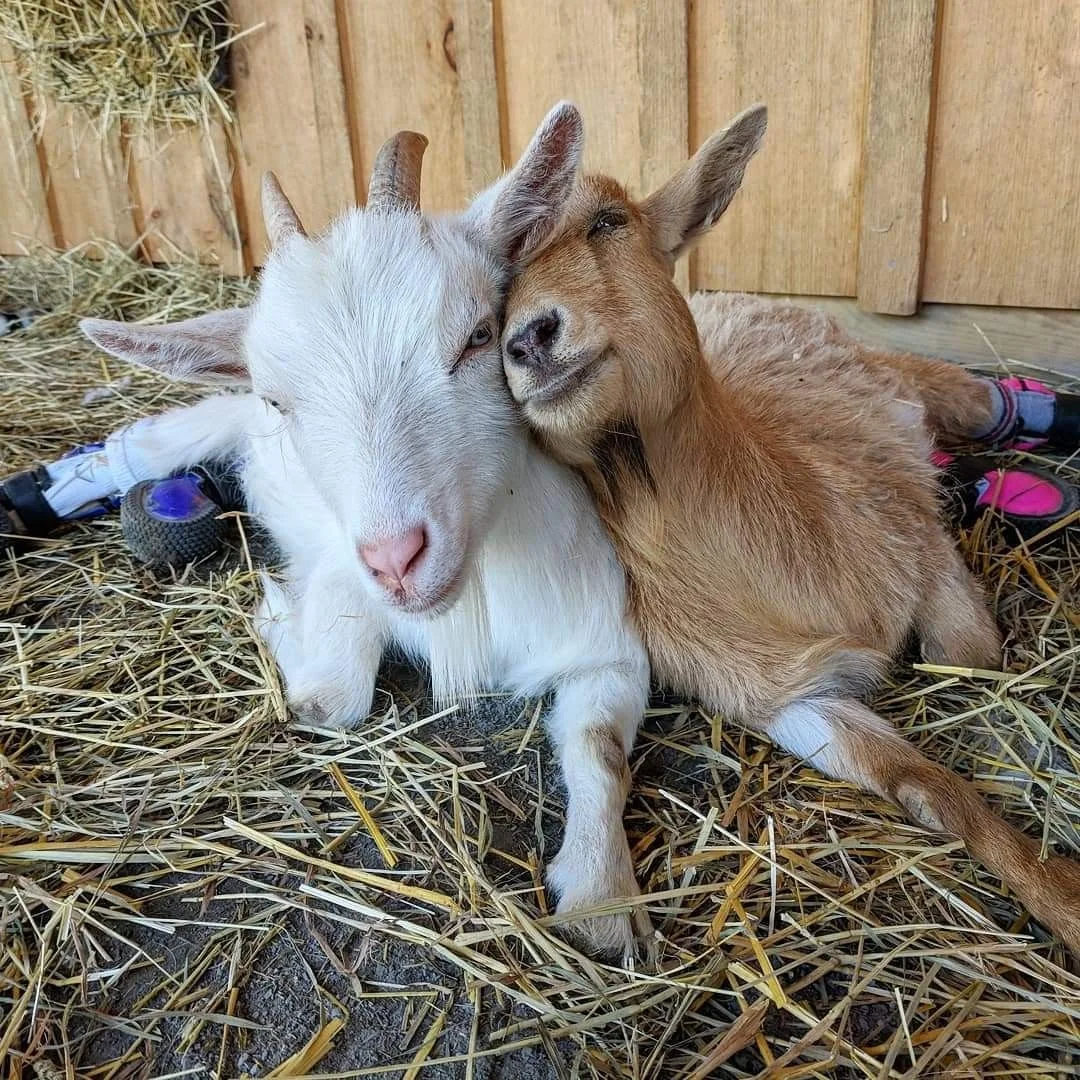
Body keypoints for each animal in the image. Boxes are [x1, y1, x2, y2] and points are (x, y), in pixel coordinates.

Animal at [79, 107, 651, 955]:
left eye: (478, 335)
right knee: (154, 441)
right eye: (279, 400)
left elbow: (600, 747)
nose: (397, 559)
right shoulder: (340, 577)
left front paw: (601, 898)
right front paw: (274, 612)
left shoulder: (607, 645)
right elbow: (329, 699)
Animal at [501, 104, 1080, 953]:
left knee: (977, 398)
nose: (528, 338)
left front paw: (1064, 899)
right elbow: (926, 785)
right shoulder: (784, 693)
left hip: (904, 376)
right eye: (493, 289)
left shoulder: (915, 538)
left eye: (610, 221)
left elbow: (967, 653)